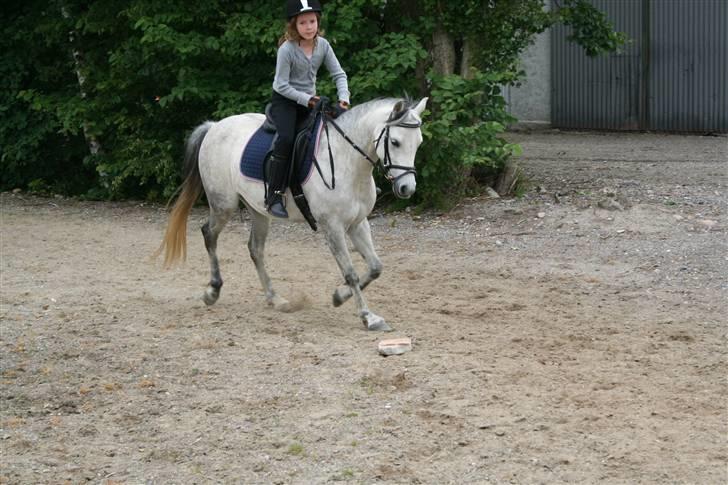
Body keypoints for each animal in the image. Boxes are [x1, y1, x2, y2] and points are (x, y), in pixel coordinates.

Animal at [156, 95, 424, 328]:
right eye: (395, 142)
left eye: (418, 143)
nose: (407, 188)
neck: (347, 161)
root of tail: (214, 127)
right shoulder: (333, 227)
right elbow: (351, 273)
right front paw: (368, 317)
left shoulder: (358, 223)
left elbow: (375, 267)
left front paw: (338, 296)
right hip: (224, 204)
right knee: (209, 235)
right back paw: (212, 291)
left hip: (258, 211)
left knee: (255, 248)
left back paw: (275, 298)